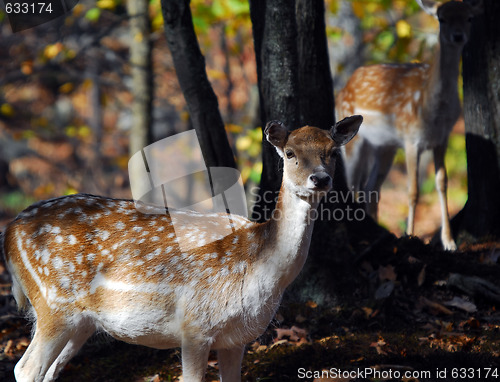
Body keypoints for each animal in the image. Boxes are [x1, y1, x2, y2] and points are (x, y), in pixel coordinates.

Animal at [1, 115, 364, 382]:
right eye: (289, 153)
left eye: (333, 151)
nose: (320, 179)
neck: (258, 263)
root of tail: (9, 232)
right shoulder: (194, 326)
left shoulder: (237, 338)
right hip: (54, 303)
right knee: (26, 369)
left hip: (80, 322)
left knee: (47, 372)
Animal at [334, 0, 482, 251]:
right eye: (441, 18)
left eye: (469, 18)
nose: (458, 36)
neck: (432, 108)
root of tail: (343, 88)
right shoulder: (411, 138)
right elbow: (413, 191)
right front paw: (411, 236)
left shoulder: (441, 138)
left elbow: (442, 183)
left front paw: (449, 242)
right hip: (354, 141)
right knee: (353, 185)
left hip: (385, 147)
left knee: (371, 188)